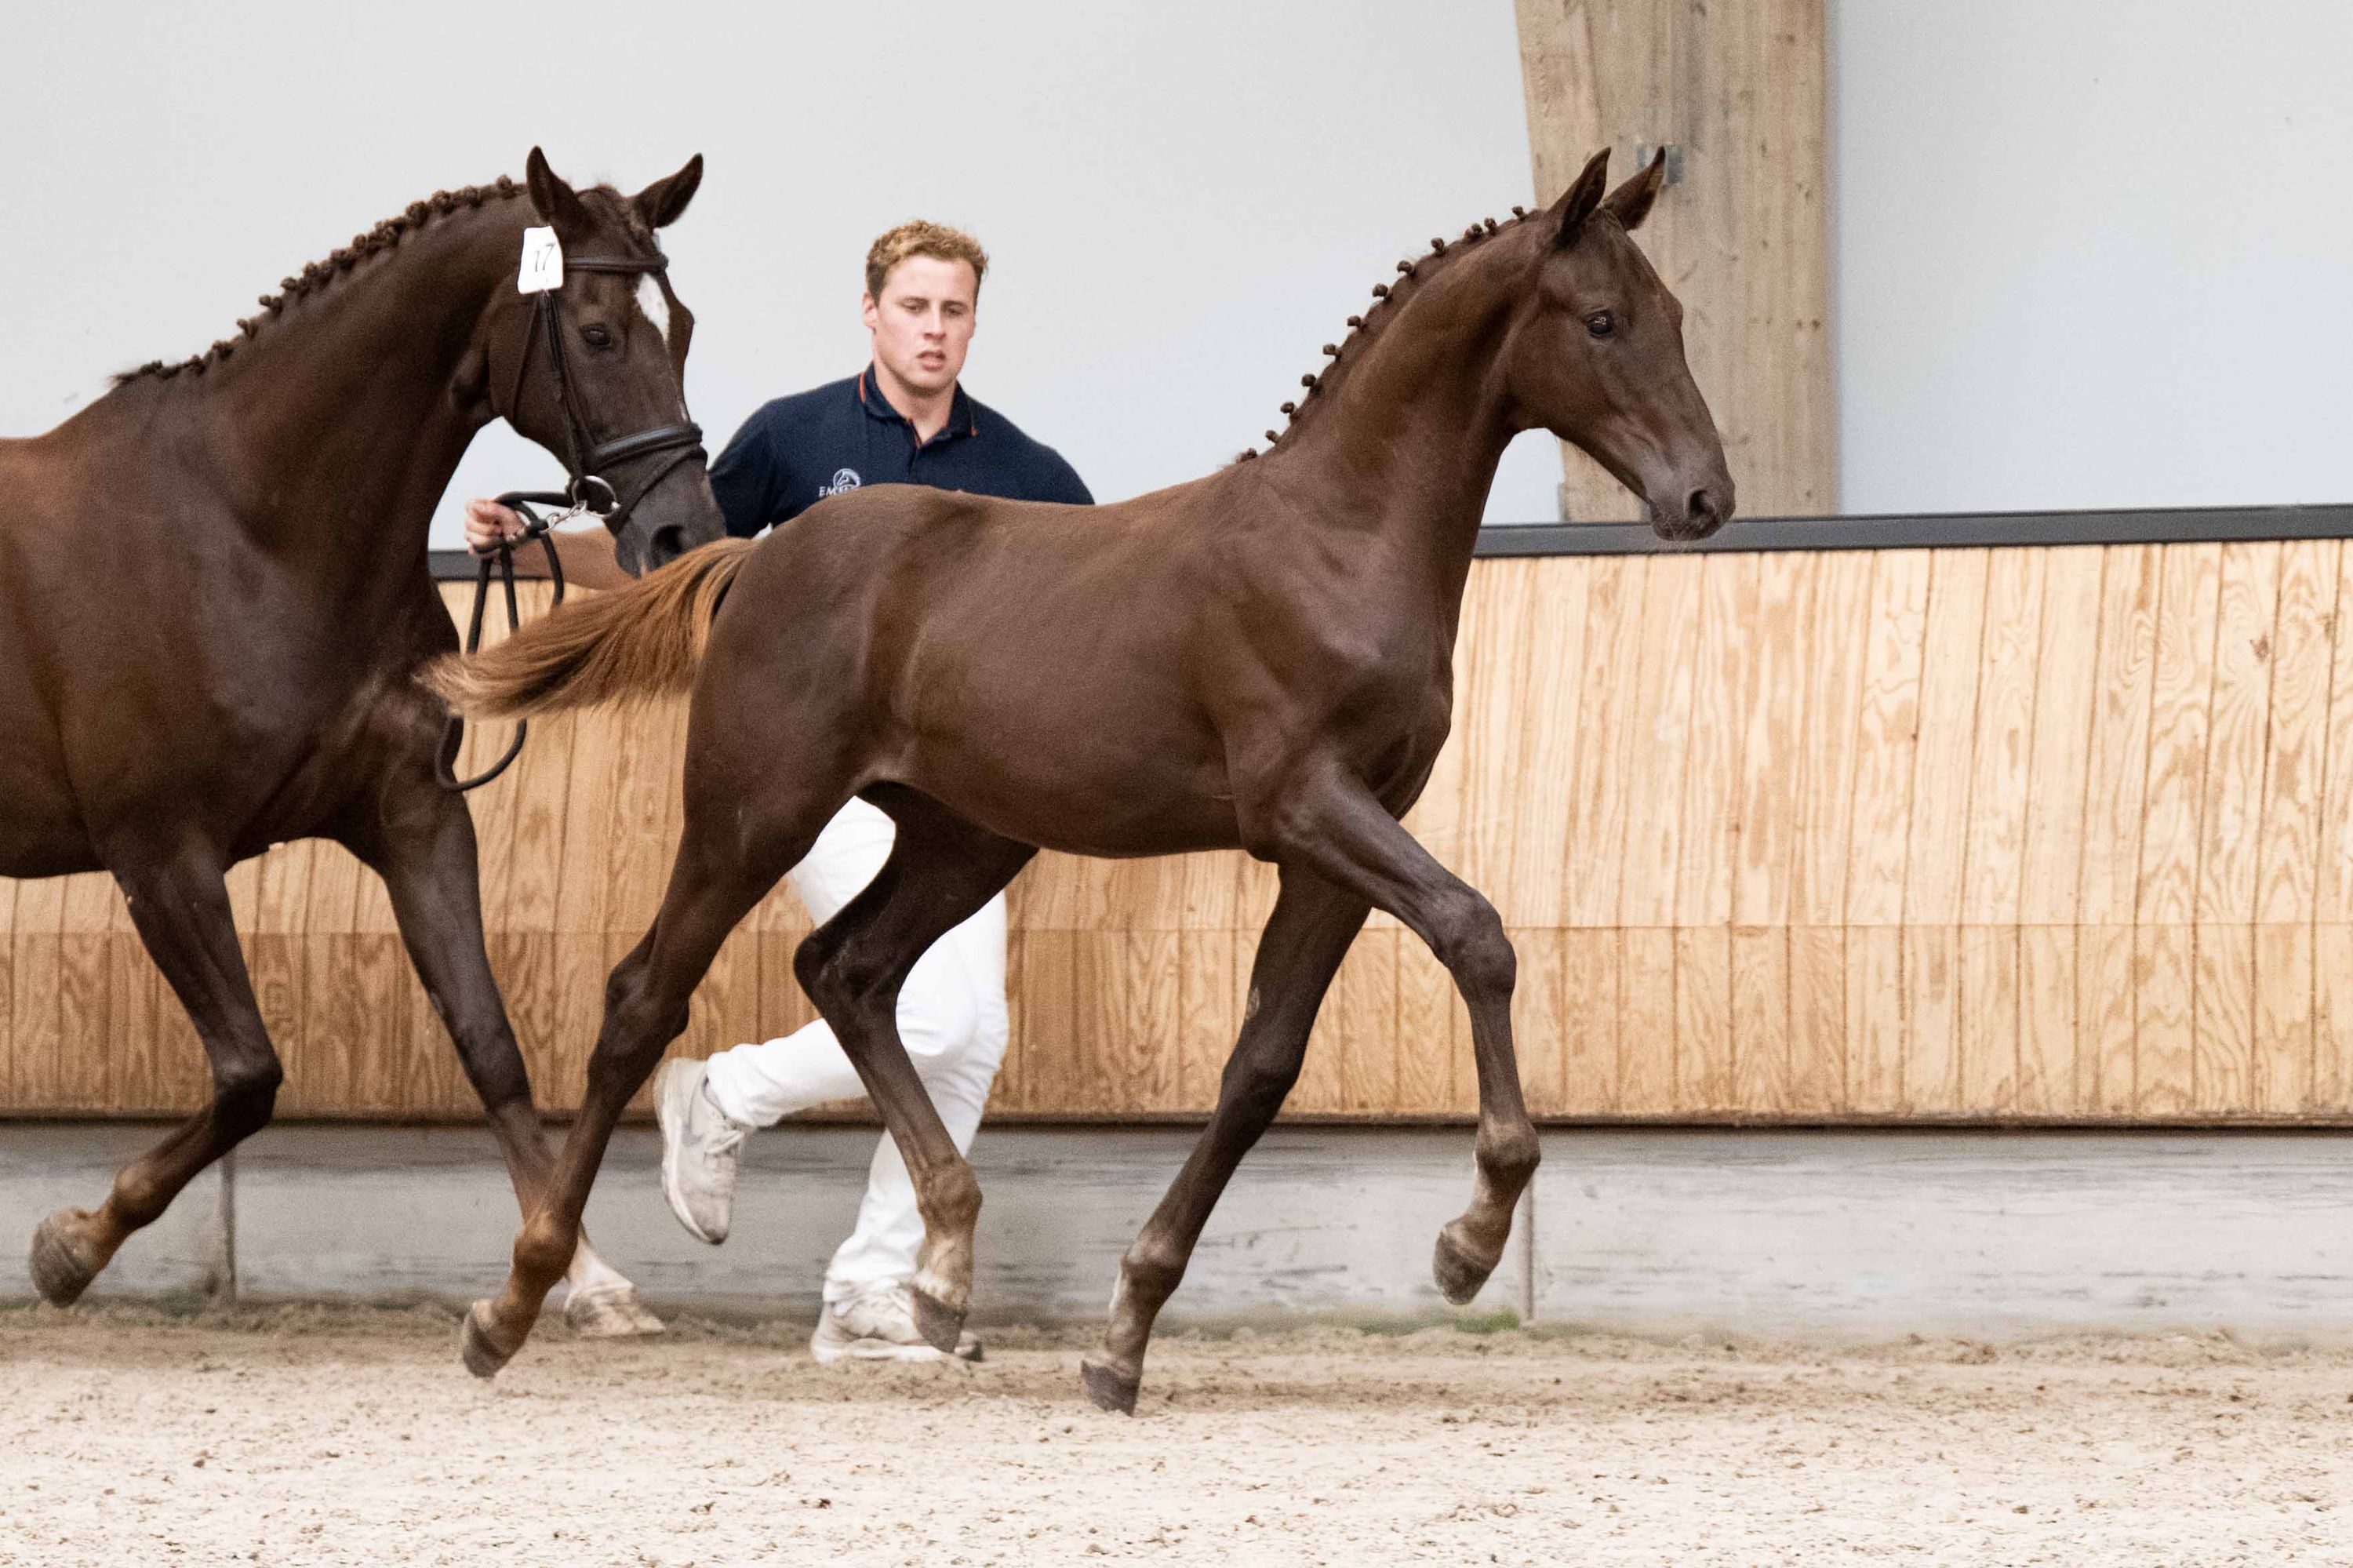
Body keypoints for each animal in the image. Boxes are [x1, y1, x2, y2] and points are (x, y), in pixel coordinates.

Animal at [2, 148, 726, 1333]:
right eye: (597, 332)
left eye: (688, 323)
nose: (683, 536)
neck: (255, 530)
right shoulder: (162, 856)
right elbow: (249, 1072)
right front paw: (71, 1245)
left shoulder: (413, 816)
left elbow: (488, 1040)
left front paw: (578, 1277)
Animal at [432, 146, 1732, 1404]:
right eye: (1603, 319)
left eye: (1676, 313)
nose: (1704, 495)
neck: (1336, 539)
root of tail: (751, 554)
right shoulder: (1307, 805)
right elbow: (1477, 932)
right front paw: (1471, 1238)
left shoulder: (1342, 842)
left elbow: (1263, 1061)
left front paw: (1124, 1337)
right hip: (752, 813)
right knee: (643, 998)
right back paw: (516, 1302)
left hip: (964, 836)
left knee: (847, 968)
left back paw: (942, 1275)